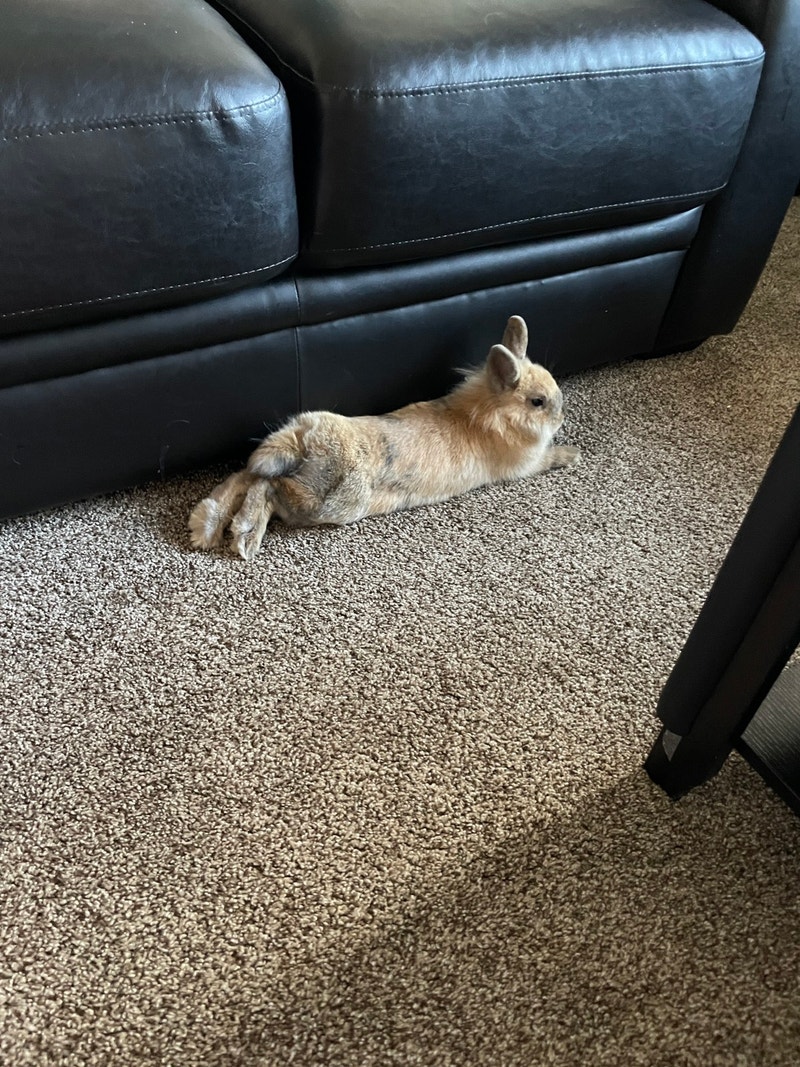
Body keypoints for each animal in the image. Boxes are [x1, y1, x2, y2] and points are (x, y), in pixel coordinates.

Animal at [188, 315, 579, 560]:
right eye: (537, 402)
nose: (561, 416)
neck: (487, 416)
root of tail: (306, 439)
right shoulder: (524, 465)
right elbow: (548, 459)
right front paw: (572, 454)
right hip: (329, 502)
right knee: (266, 488)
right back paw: (244, 537)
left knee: (248, 476)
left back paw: (204, 527)